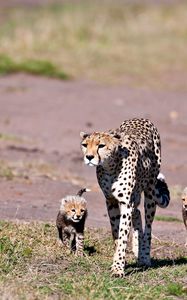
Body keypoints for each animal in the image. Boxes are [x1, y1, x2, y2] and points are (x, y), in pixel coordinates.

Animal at [79, 118, 170, 278]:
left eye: (101, 145)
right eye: (85, 145)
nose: (89, 157)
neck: (110, 166)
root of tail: (141, 118)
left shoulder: (126, 203)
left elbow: (122, 235)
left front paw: (118, 268)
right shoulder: (111, 201)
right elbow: (116, 233)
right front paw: (120, 260)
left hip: (150, 192)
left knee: (148, 226)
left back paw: (144, 257)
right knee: (137, 213)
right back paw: (137, 249)